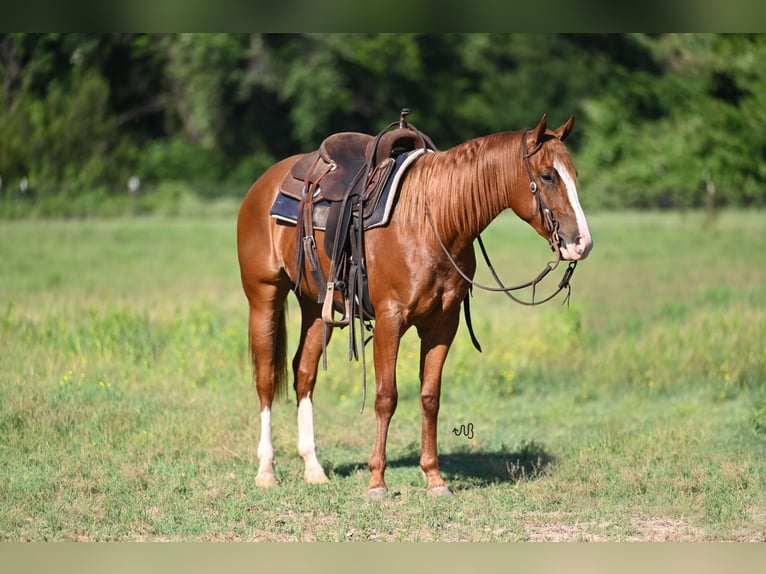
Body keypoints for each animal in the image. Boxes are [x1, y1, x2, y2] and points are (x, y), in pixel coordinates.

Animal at [238, 113, 592, 500]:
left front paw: (435, 479)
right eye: (547, 175)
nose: (581, 243)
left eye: (574, 174)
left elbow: (429, 397)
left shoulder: (442, 324)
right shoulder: (389, 320)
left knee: (304, 373)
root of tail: (265, 182)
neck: (432, 217)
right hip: (264, 296)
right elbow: (386, 397)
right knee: (266, 377)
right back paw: (266, 470)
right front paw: (377, 483)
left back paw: (313, 468)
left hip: (317, 307)